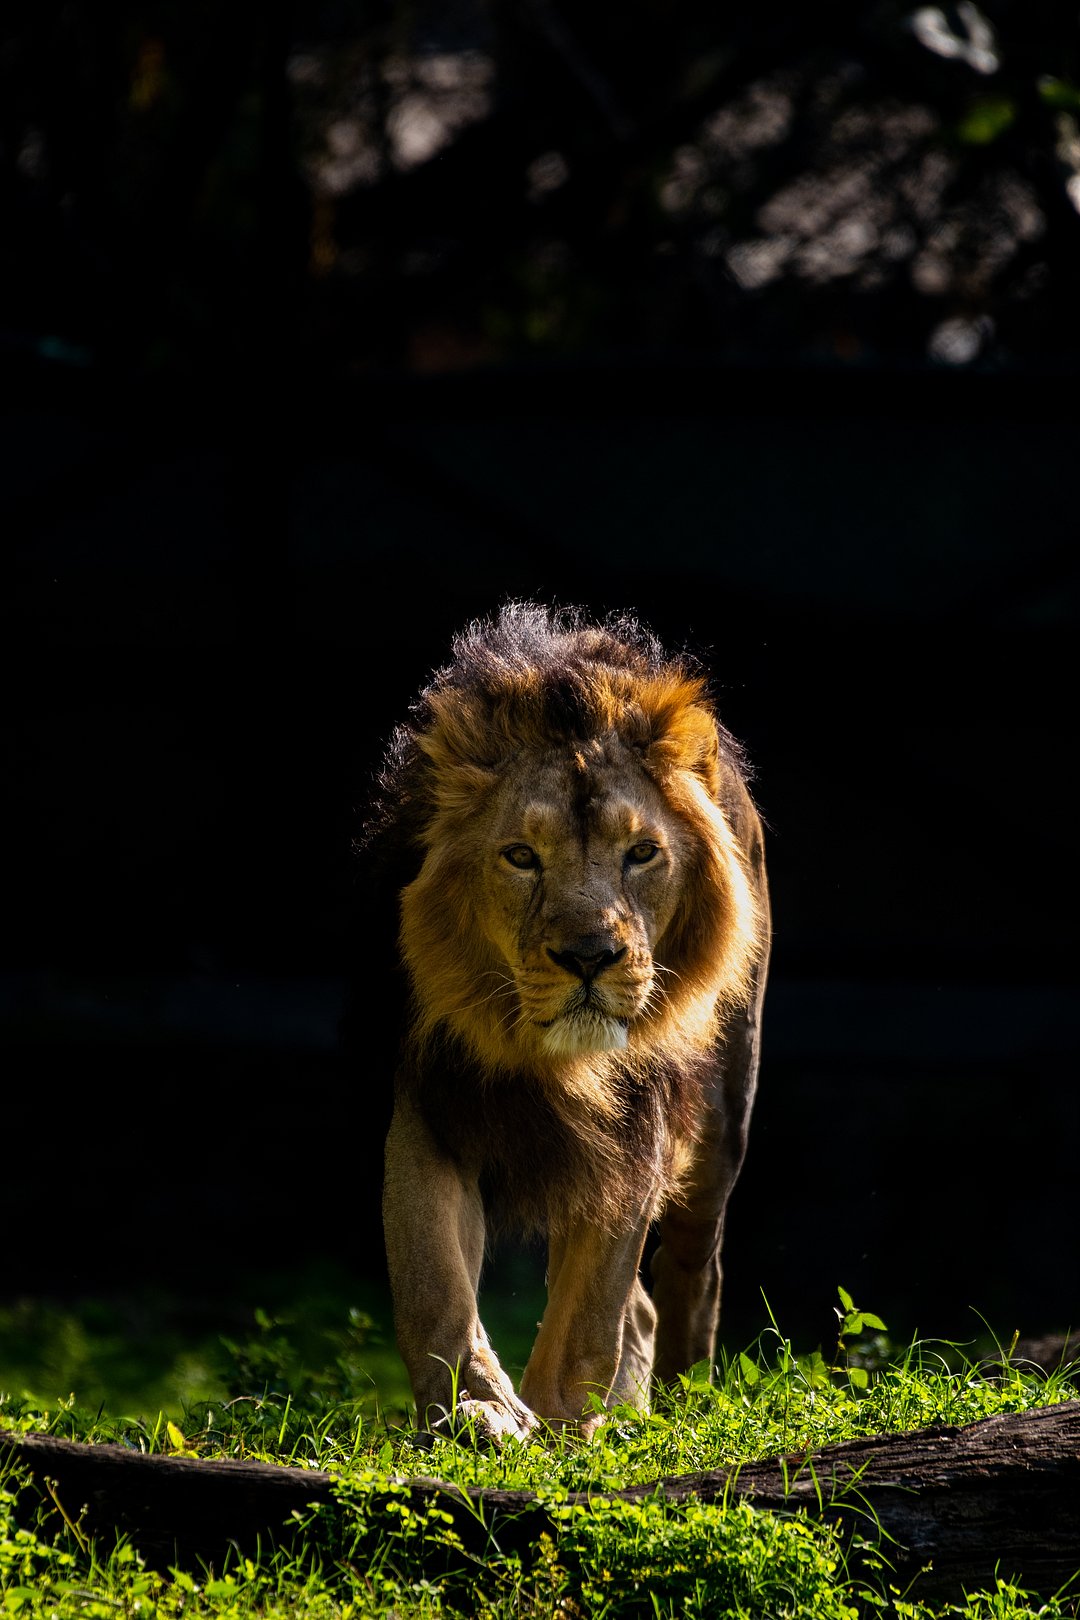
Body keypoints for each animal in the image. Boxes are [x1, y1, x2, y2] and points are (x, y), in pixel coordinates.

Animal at [365, 602, 770, 1442]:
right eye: (521, 856)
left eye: (642, 854)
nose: (590, 956)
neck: (547, 1057)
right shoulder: (432, 1097)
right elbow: (433, 1285)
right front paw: (480, 1412)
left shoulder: (638, 1127)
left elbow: (591, 1313)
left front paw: (562, 1427)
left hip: (724, 1116)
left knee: (690, 1273)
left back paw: (680, 1402)